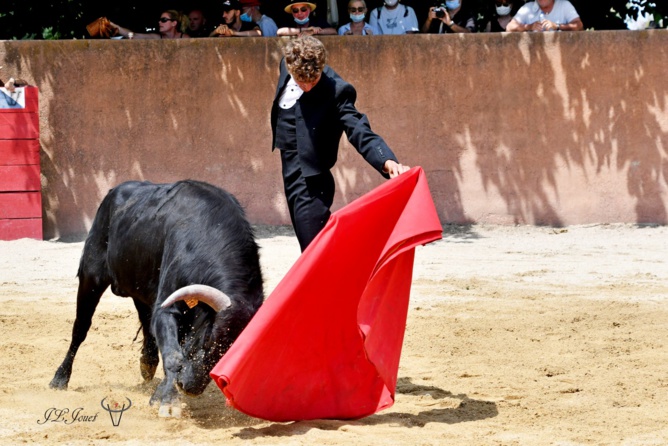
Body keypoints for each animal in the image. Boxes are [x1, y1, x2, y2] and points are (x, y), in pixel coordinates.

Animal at [50, 179, 264, 416]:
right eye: (209, 339)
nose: (190, 387)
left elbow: (175, 348)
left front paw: (160, 395)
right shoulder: (167, 308)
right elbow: (173, 355)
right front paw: (168, 401)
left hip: (140, 287)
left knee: (145, 321)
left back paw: (147, 364)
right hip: (91, 276)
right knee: (81, 327)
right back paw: (60, 378)